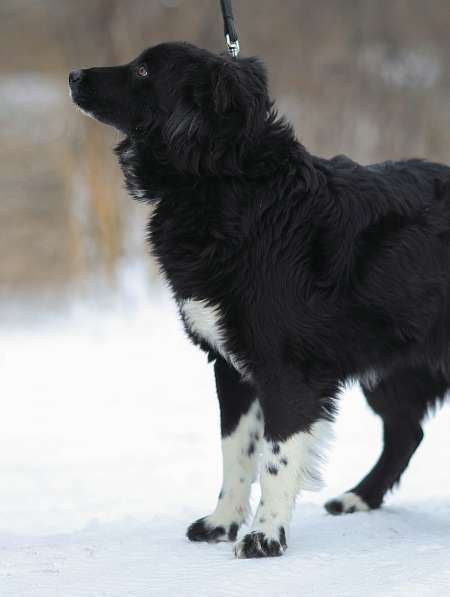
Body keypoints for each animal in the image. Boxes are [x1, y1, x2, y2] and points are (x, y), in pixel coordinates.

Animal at [69, 43, 450, 560]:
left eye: (144, 70)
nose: (72, 75)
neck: (231, 186)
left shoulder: (286, 371)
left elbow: (275, 458)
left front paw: (265, 536)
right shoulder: (231, 367)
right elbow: (236, 453)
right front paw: (223, 522)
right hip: (391, 366)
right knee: (406, 431)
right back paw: (359, 497)